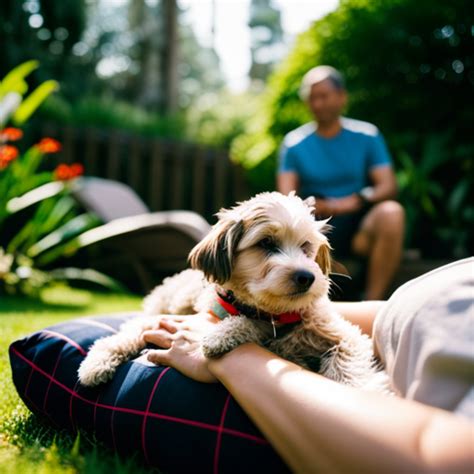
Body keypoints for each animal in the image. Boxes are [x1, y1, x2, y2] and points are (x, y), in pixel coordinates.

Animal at [78, 191, 388, 390]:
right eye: (266, 243)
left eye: (306, 246)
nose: (307, 277)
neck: (276, 316)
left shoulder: (346, 337)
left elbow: (348, 368)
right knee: (134, 327)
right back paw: (97, 362)